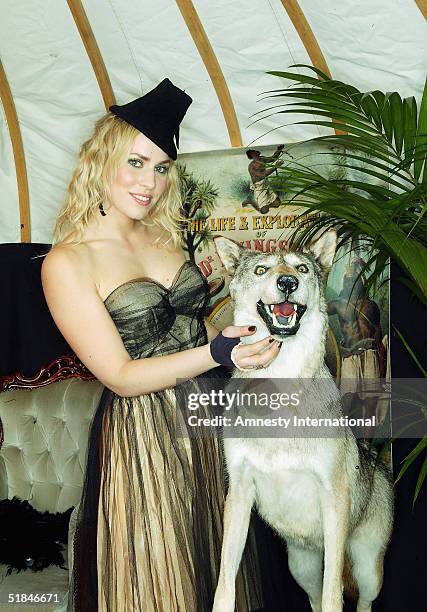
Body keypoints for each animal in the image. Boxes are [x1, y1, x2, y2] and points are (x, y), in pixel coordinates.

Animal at [212, 232, 392, 612]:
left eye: (302, 268)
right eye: (262, 269)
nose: (287, 282)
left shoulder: (333, 496)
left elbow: (334, 595)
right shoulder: (239, 493)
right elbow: (225, 584)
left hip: (367, 569)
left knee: (362, 600)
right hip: (302, 567)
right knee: (313, 597)